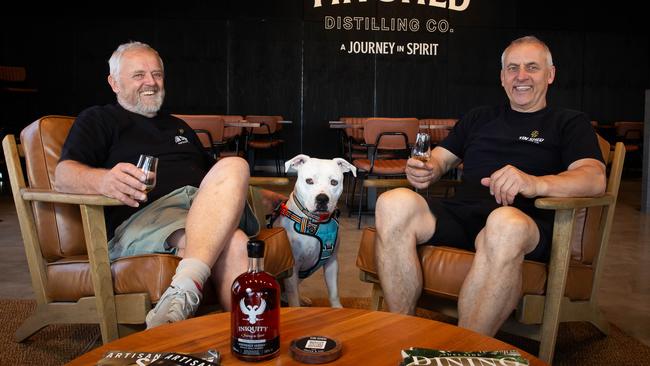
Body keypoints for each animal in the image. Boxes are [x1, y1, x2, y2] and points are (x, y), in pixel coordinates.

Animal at [270, 153, 356, 308]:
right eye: (309, 181)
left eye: (334, 182)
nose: (322, 199)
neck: (315, 222)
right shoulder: (293, 267)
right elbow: (293, 295)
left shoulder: (332, 263)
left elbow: (334, 292)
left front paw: (337, 308)